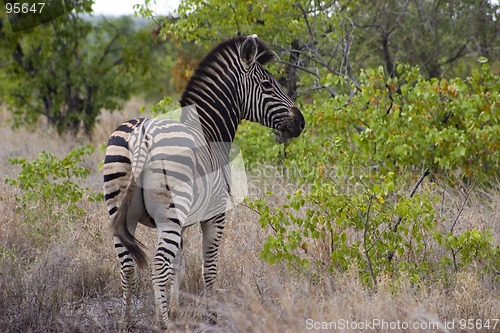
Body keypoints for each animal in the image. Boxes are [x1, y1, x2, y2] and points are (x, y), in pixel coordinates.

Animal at [102, 35, 304, 328]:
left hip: (120, 206)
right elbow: (208, 266)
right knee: (159, 265)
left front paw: (175, 307)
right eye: (268, 85)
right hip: (169, 213)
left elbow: (179, 263)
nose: (301, 122)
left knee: (128, 264)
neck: (209, 131)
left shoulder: (185, 220)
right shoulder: (215, 214)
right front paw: (211, 314)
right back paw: (165, 326)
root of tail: (141, 136)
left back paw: (126, 322)